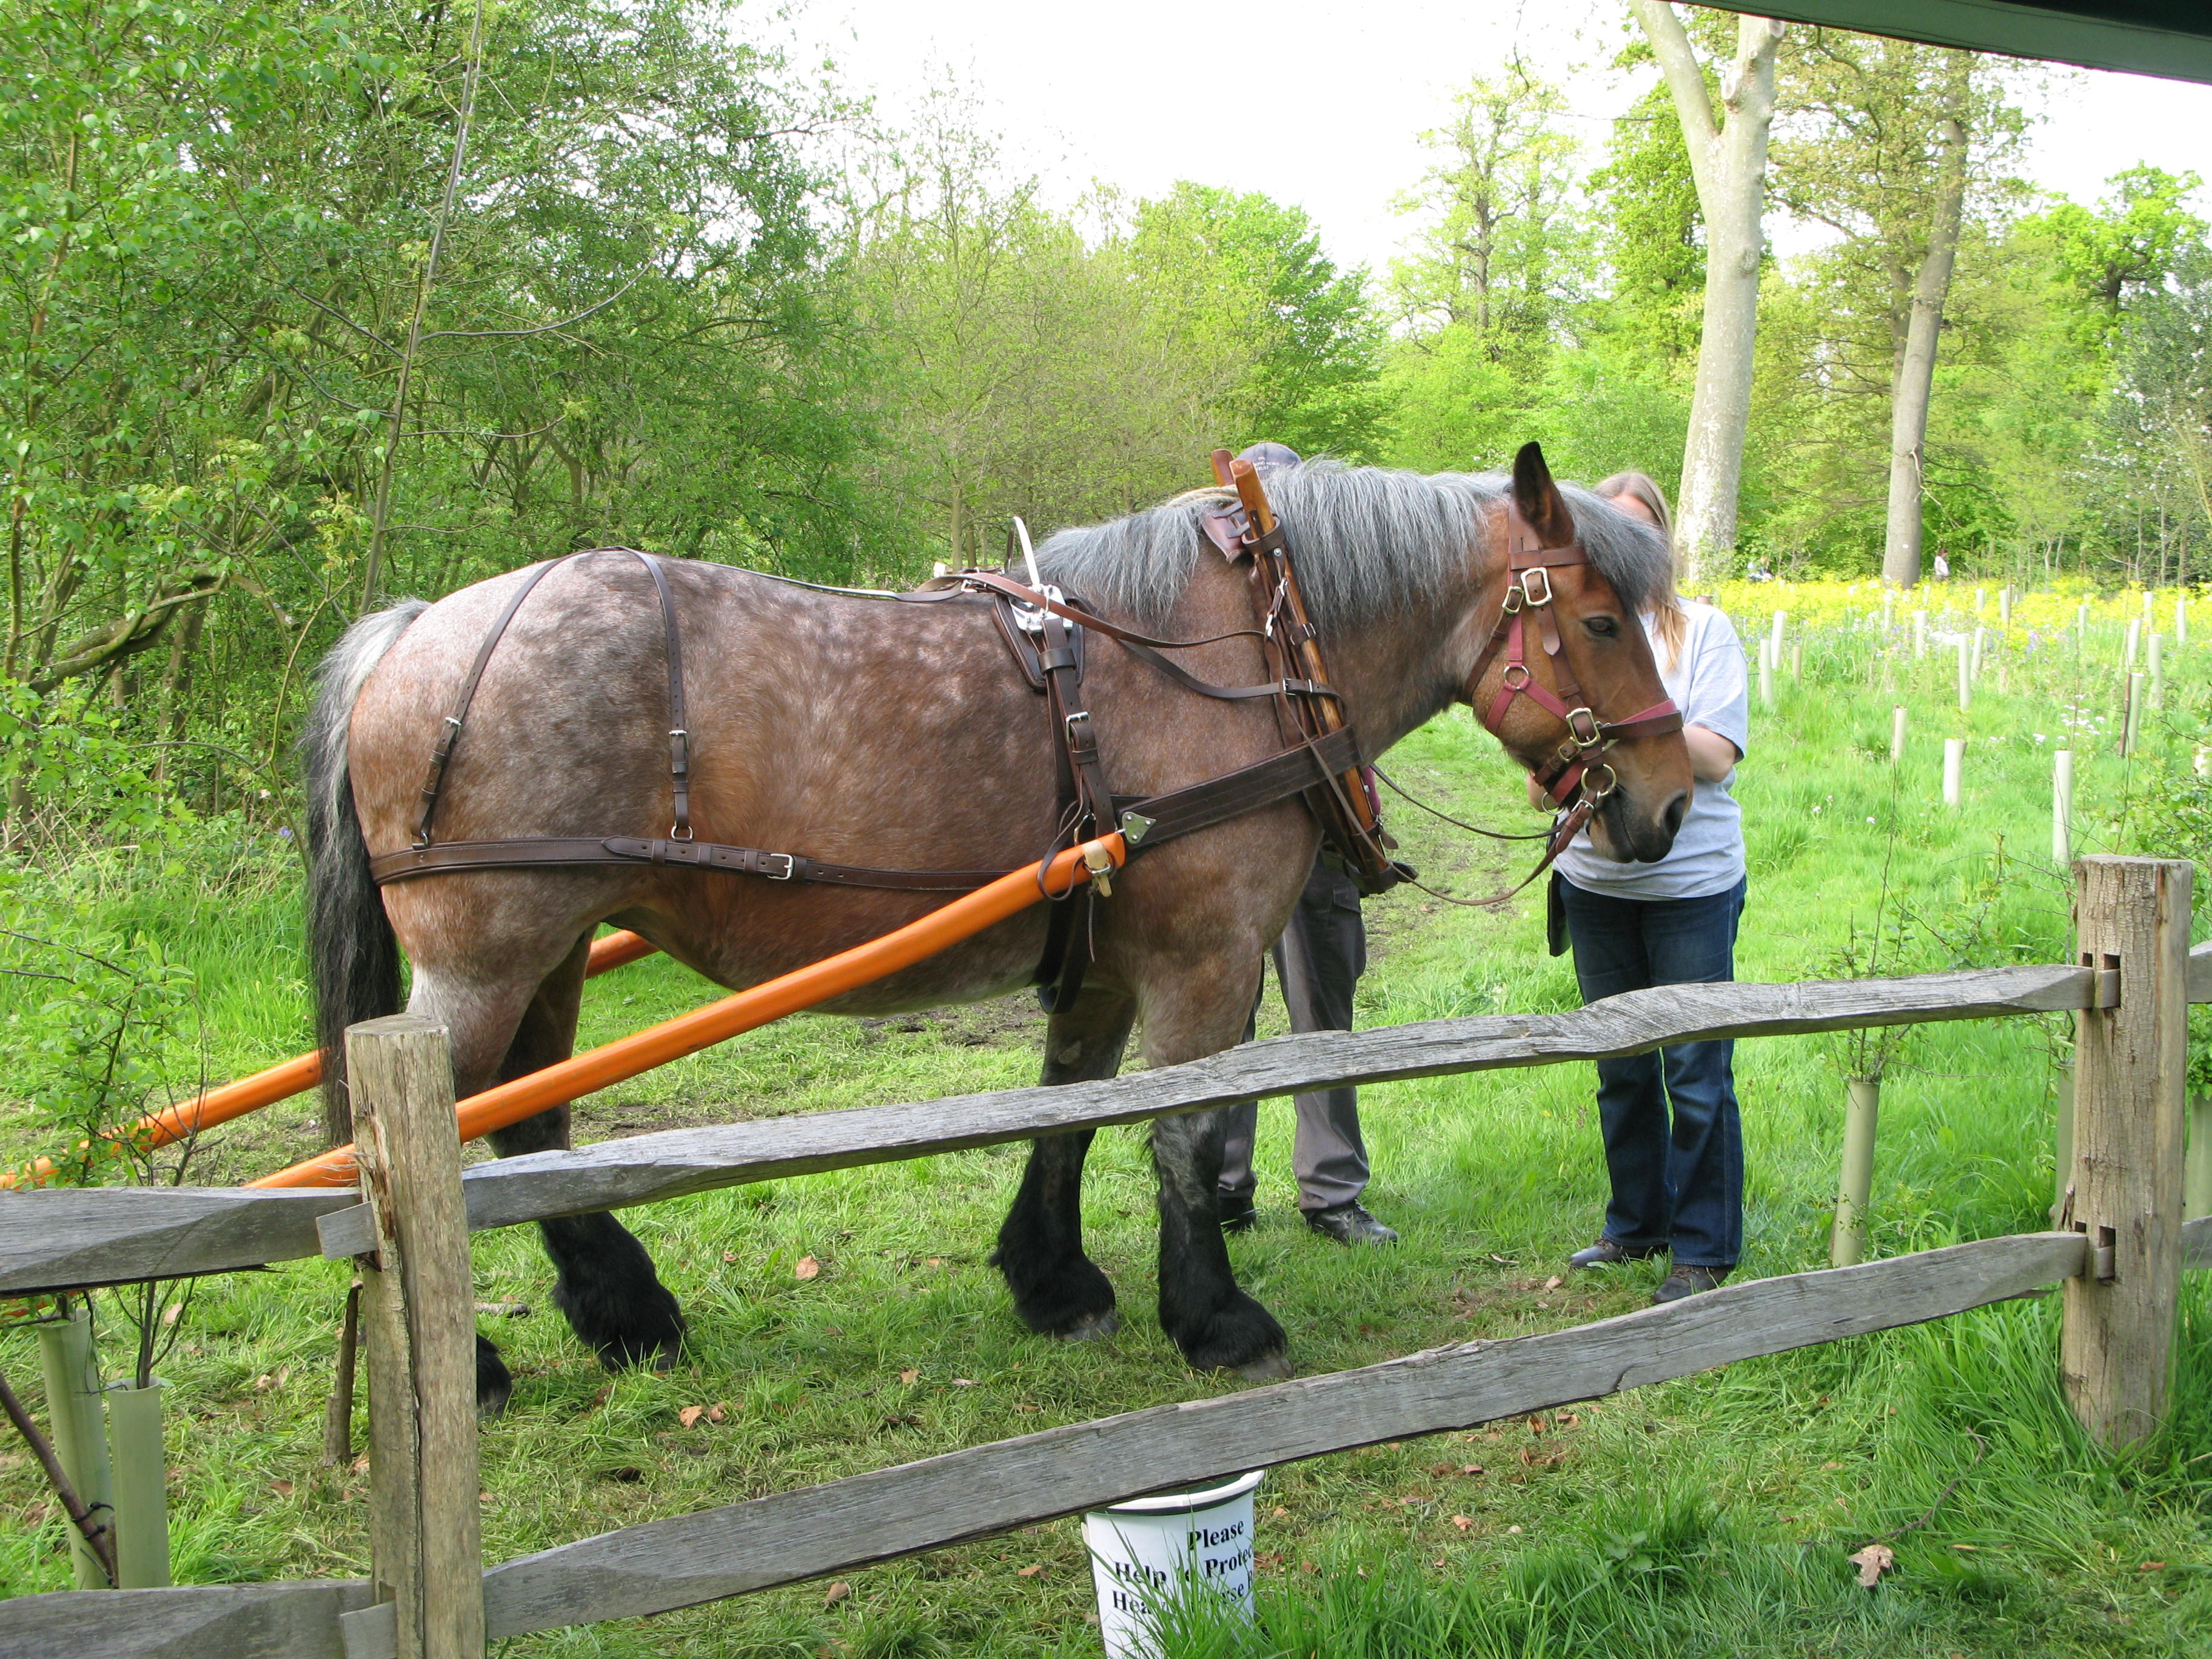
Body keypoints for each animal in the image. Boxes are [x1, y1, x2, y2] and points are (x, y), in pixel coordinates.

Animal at [307, 444, 1690, 1407]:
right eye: (1601, 621)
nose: (1673, 800)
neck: (1239, 653)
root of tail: (414, 636)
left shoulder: (1105, 963)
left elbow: (1066, 1113)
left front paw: (1054, 1281)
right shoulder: (1205, 960)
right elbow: (1184, 1136)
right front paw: (1214, 1318)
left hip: (547, 955)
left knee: (529, 1128)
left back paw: (625, 1313)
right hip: (480, 963)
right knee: (423, 1141)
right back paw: (476, 1365)